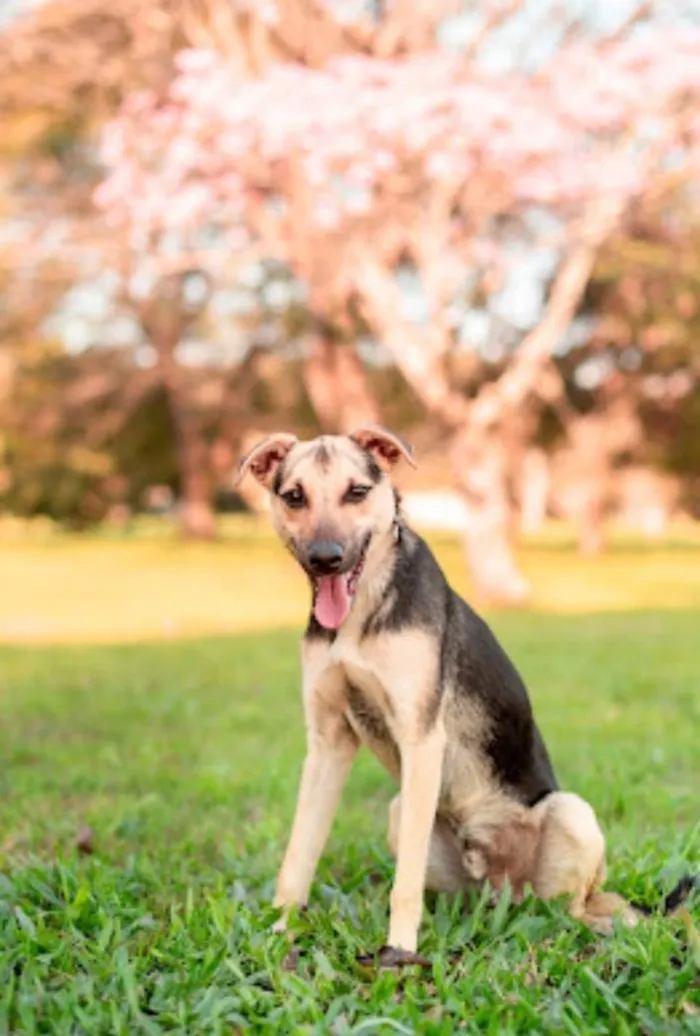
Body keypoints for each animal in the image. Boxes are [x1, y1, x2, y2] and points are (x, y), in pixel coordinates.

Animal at [236, 424, 695, 965]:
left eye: (357, 492)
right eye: (294, 497)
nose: (326, 558)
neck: (363, 609)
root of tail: (501, 888)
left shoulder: (420, 737)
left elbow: (404, 885)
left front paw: (399, 952)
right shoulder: (329, 744)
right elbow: (297, 857)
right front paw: (276, 935)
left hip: (571, 815)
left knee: (581, 908)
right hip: (404, 815)